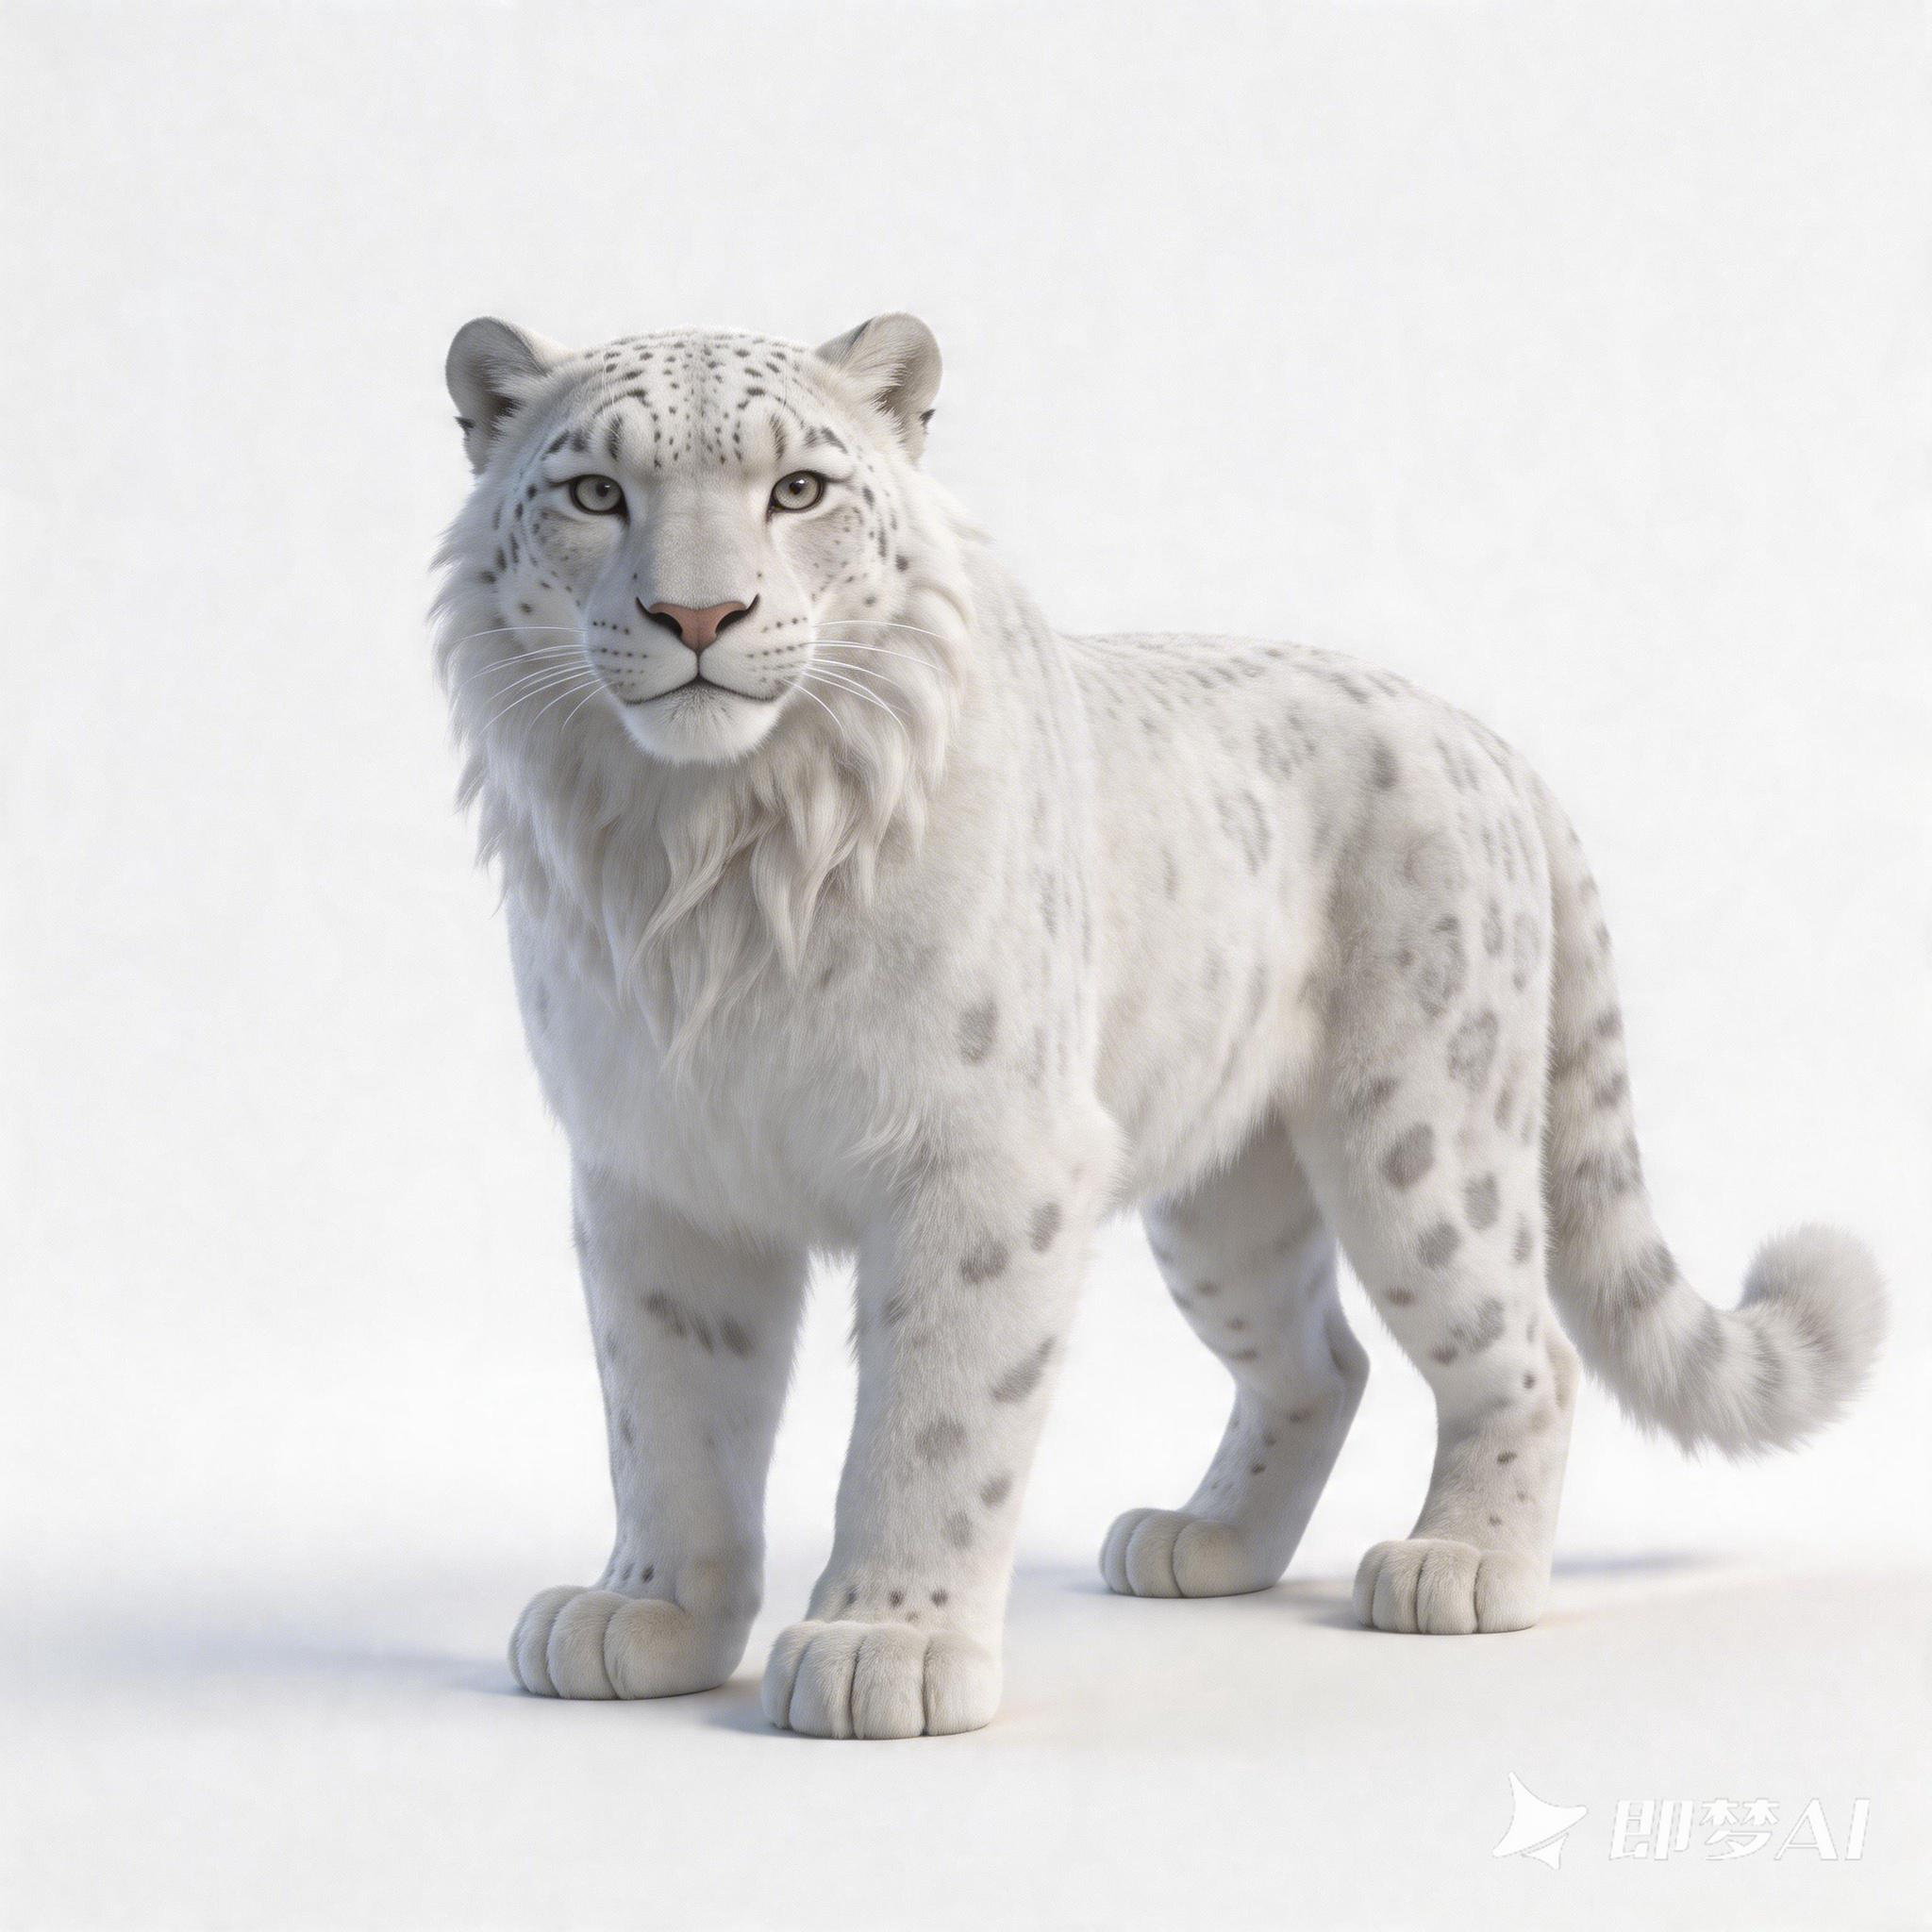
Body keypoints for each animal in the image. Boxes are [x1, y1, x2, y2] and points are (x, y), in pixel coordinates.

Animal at [432, 311, 1884, 1738]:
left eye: (797, 490)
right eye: (595, 493)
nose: (697, 612)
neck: (705, 846)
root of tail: (1479, 735)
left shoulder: (990, 1160)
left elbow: (934, 1421)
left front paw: (884, 1647)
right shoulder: (658, 1173)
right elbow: (666, 1420)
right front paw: (648, 1616)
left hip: (1423, 1141)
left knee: (1526, 1351)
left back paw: (1461, 1565)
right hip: (1229, 1205)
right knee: (1322, 1364)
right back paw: (1205, 1542)